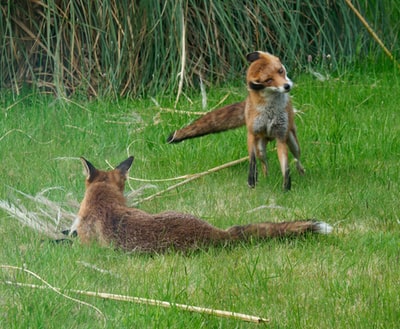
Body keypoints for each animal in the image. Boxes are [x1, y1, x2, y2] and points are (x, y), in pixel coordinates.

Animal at [168, 50, 304, 190]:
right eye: (269, 80)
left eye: (280, 71)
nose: (287, 86)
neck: (270, 112)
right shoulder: (251, 134)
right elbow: (252, 160)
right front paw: (251, 180)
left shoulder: (280, 136)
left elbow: (285, 167)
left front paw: (286, 187)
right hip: (261, 148)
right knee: (264, 164)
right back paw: (267, 179)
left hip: (292, 142)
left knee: (297, 159)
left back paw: (301, 173)